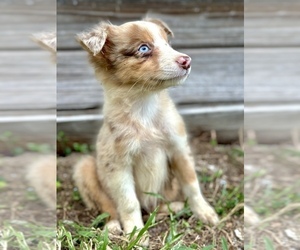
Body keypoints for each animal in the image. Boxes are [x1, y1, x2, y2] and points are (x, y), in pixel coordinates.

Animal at [73, 18, 218, 245]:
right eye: (144, 48)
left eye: (167, 44)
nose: (187, 61)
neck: (144, 106)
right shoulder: (118, 165)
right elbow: (128, 202)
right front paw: (135, 233)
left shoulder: (179, 149)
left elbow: (192, 184)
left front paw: (205, 212)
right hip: (85, 168)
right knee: (109, 207)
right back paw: (113, 227)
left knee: (158, 205)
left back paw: (176, 207)